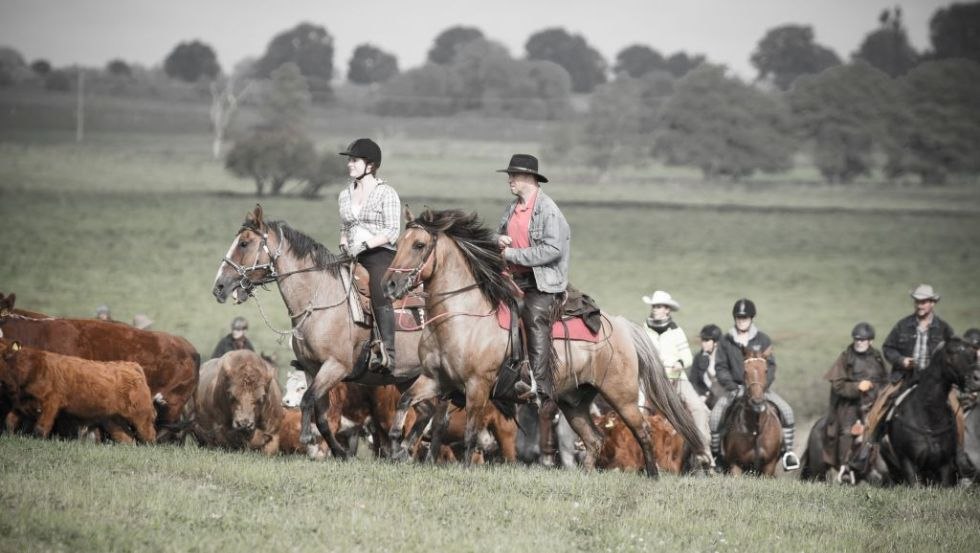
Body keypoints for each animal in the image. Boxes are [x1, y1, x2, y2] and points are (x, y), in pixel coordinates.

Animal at [0, 338, 156, 442]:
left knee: (148, 434)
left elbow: (41, 428)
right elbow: (9, 421)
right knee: (126, 438)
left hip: (141, 414)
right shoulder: (20, 405)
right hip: (113, 419)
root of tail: (132, 366)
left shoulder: (51, 403)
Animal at [212, 204, 430, 458]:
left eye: (244, 243)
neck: (319, 299)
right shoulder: (312, 368)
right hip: (408, 376)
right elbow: (321, 415)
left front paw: (308, 438)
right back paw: (403, 450)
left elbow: (307, 400)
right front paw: (340, 452)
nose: (219, 287)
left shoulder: (335, 367)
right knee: (424, 410)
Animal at [378, 209, 700, 476]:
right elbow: (406, 404)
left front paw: (466, 470)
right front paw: (396, 449)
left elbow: (470, 432)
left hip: (622, 395)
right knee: (594, 439)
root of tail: (620, 325)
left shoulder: (477, 385)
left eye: (419, 245)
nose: (389, 285)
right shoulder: (435, 379)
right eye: (400, 242)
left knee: (642, 431)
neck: (462, 317)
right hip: (574, 401)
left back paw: (653, 474)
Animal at [872, 334, 980, 486]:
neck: (928, 414)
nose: (977, 379)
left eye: (974, 354)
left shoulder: (945, 465)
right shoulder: (908, 462)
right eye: (952, 352)